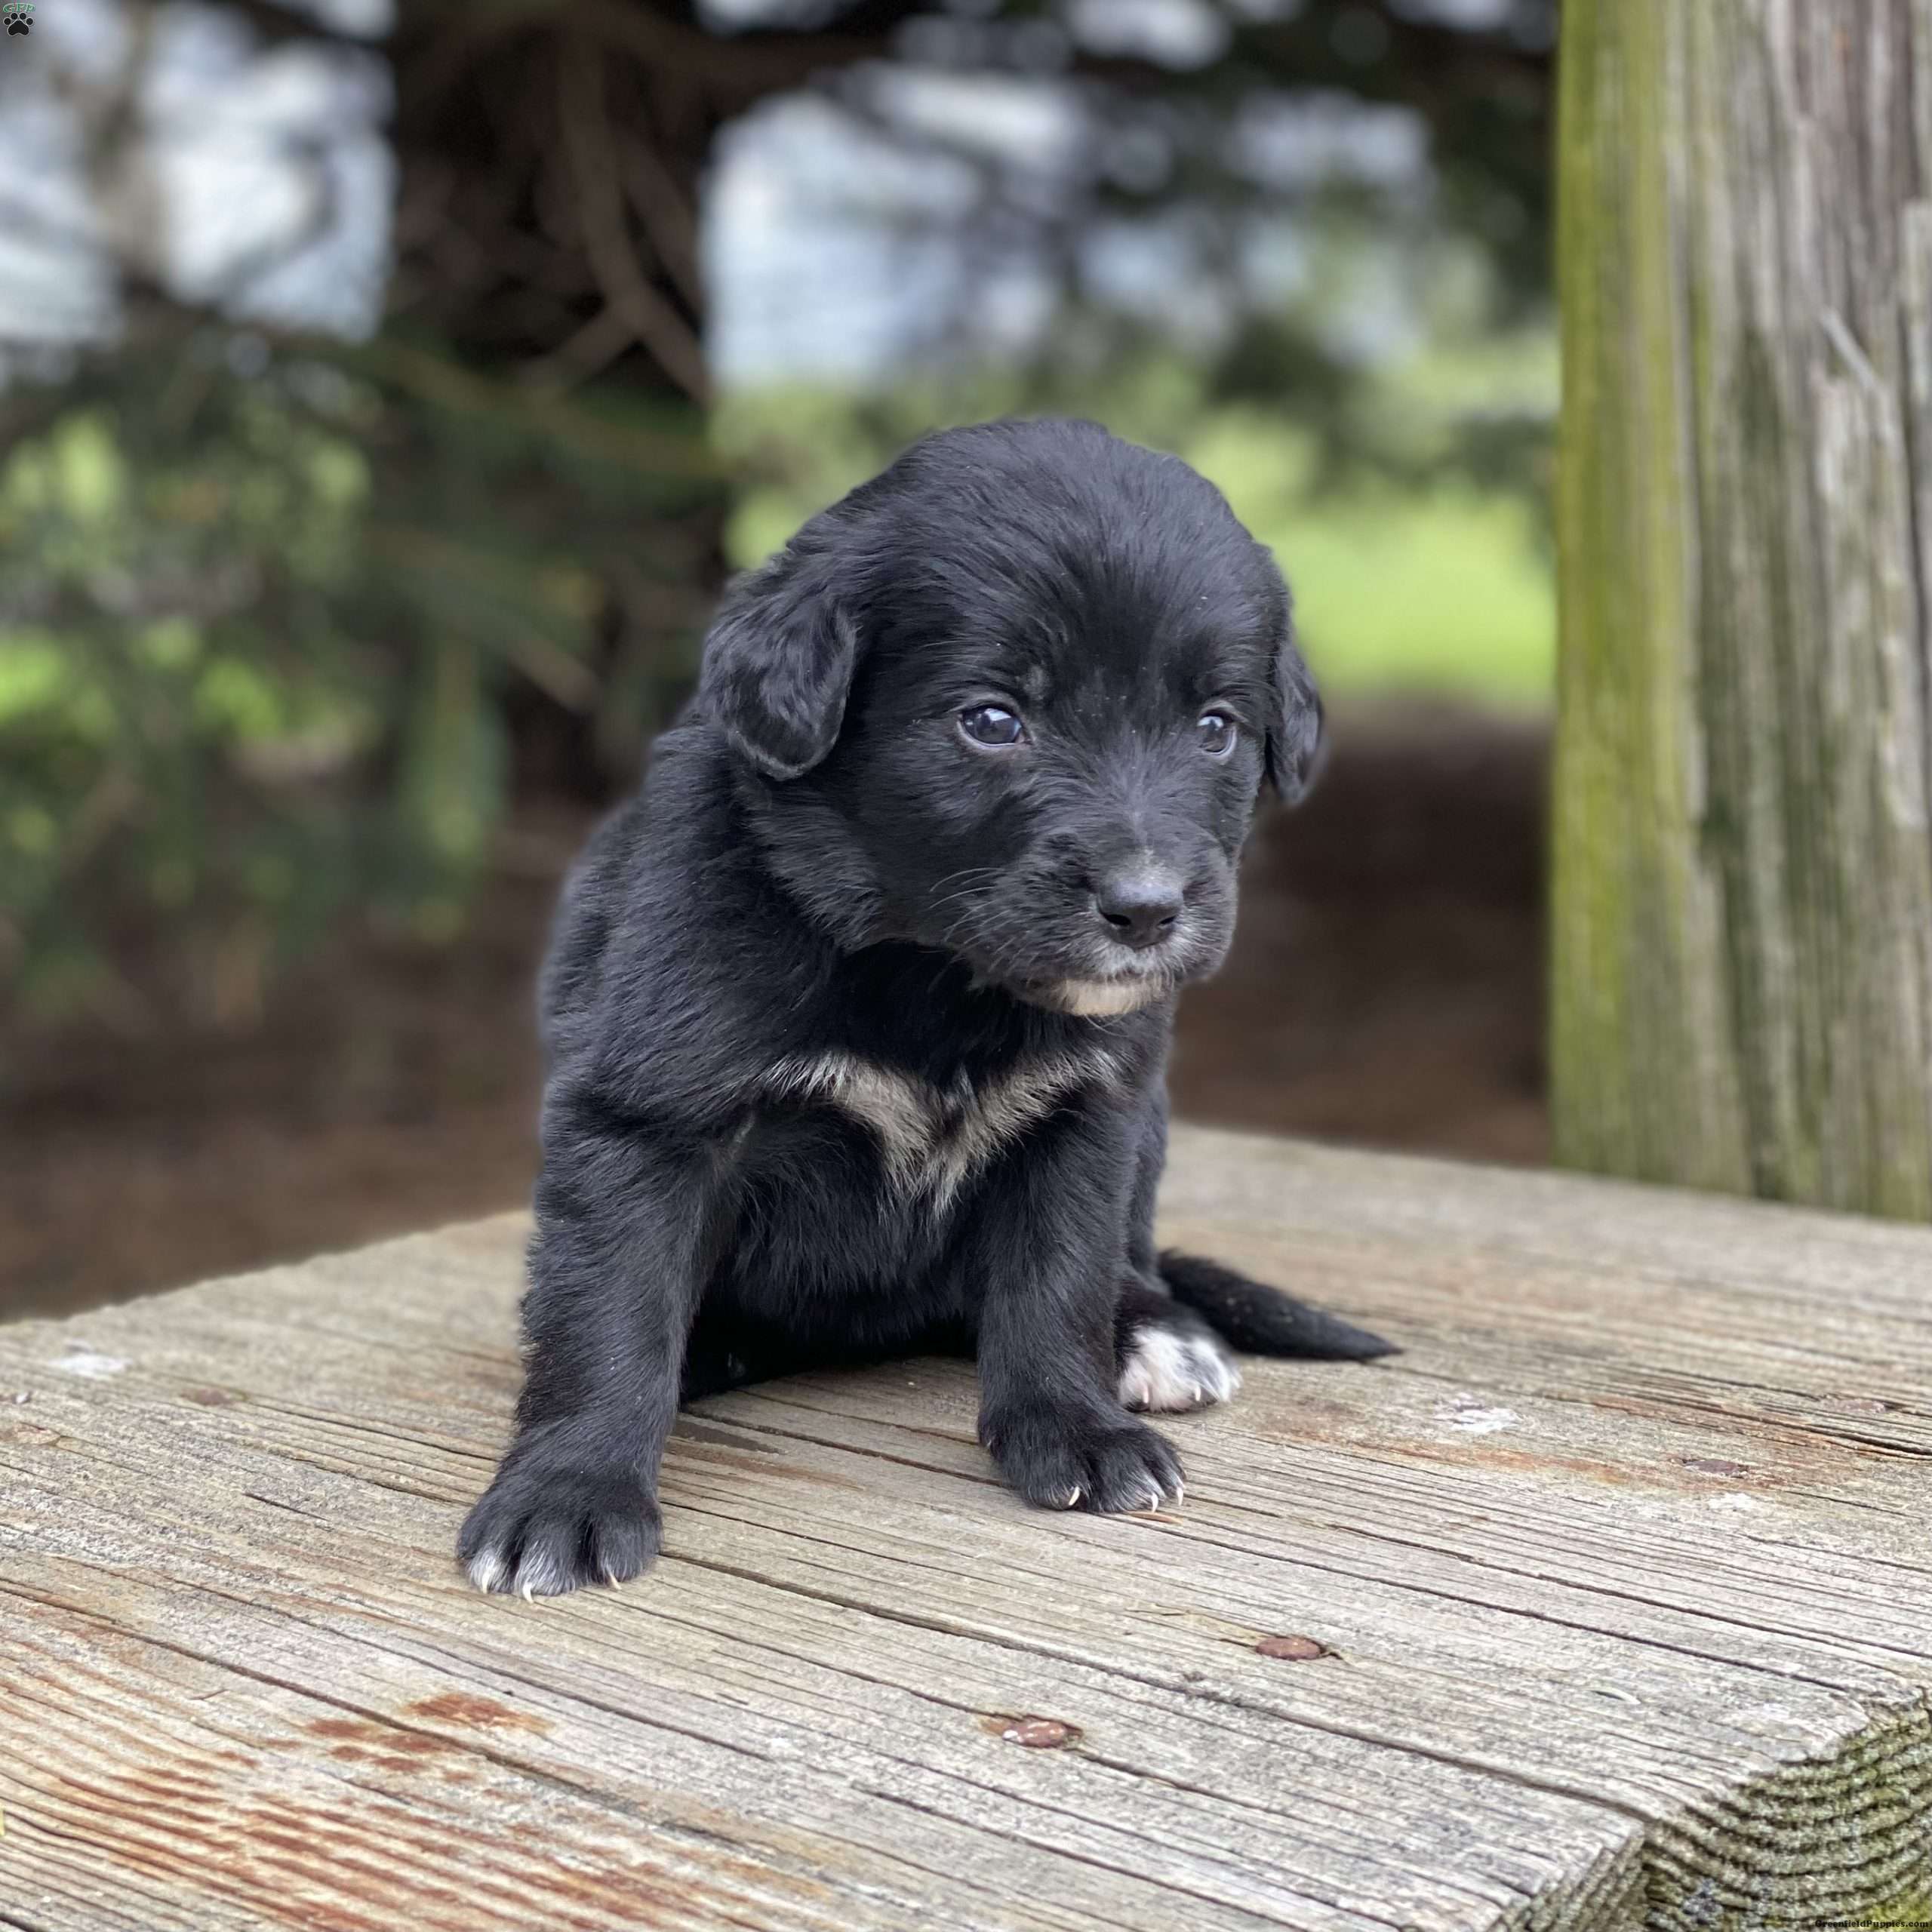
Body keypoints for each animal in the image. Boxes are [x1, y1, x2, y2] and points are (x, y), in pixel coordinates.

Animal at [460, 415, 1398, 1592]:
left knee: (1126, 1260)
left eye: (1217, 726)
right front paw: (568, 1493)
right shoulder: (648, 1117)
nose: (1147, 910)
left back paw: (1154, 1332)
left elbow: (1059, 1281)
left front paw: (1076, 1431)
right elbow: (611, 1313)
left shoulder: (1087, 1115)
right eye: (992, 720)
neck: (932, 973)